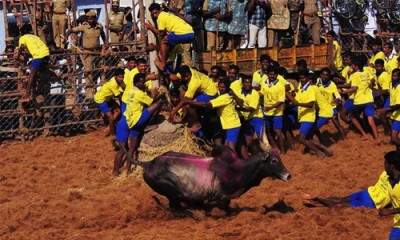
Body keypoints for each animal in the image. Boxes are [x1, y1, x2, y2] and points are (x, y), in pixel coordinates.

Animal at [134, 128, 290, 211]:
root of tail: (148, 163)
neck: (237, 170)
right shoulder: (221, 197)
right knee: (177, 206)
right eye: (274, 161)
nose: (288, 176)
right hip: (171, 191)